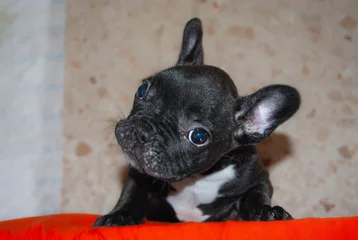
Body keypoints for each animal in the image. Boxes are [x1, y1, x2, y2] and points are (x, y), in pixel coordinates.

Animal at [92, 18, 300, 227]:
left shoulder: (257, 178)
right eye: (142, 90)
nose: (142, 130)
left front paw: (266, 212)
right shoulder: (137, 173)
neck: (195, 179)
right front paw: (119, 215)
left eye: (198, 136)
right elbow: (133, 192)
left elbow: (256, 196)